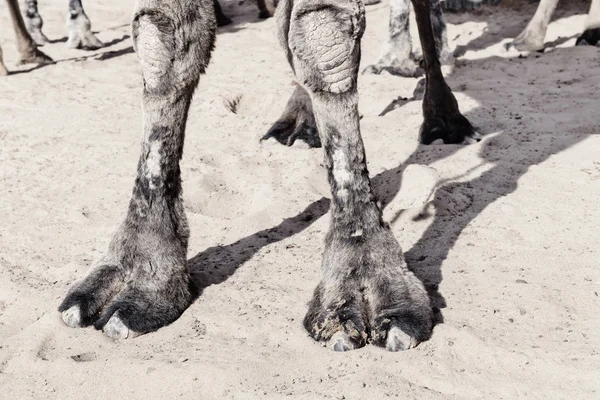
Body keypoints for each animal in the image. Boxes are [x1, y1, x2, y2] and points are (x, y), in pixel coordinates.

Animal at [57, 0, 474, 352]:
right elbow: (163, 37)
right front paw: (144, 272)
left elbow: (324, 31)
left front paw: (364, 280)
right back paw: (304, 119)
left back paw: (439, 109)